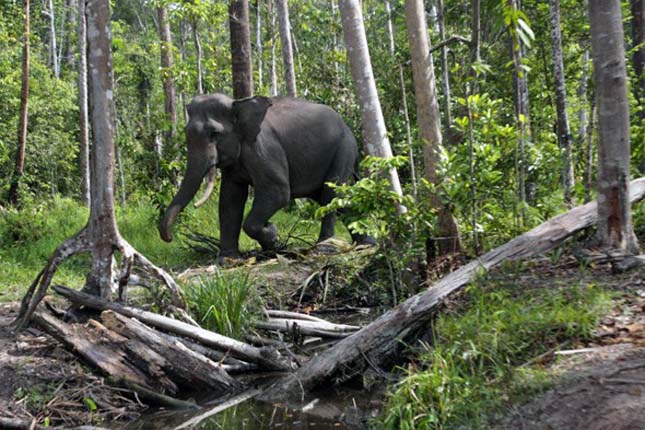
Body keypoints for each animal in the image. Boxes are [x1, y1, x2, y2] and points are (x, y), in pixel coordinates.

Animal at [158, 93, 364, 258]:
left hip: (344, 150)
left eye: (214, 133)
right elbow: (230, 199)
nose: (170, 238)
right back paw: (365, 244)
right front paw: (228, 260)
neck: (238, 102)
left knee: (330, 194)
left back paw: (323, 249)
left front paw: (272, 236)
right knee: (338, 200)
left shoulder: (263, 148)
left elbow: (278, 192)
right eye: (186, 133)